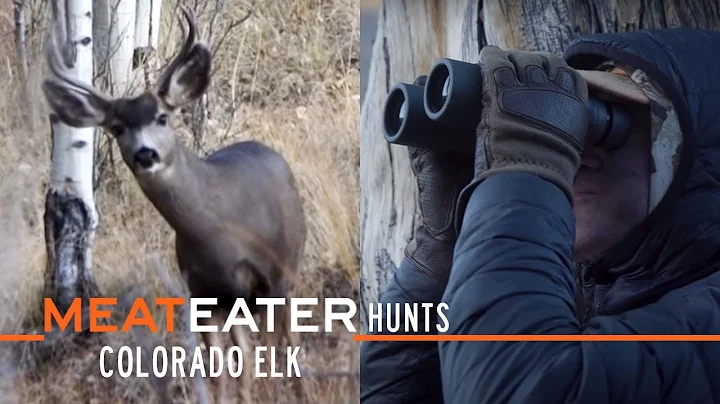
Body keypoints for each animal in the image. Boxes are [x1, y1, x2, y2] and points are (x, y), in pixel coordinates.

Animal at [41, 6, 307, 404]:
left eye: (162, 117)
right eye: (117, 127)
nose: (145, 153)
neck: (218, 235)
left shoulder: (271, 276)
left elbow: (270, 353)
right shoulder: (202, 296)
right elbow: (221, 368)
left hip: (285, 269)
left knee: (286, 339)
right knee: (244, 353)